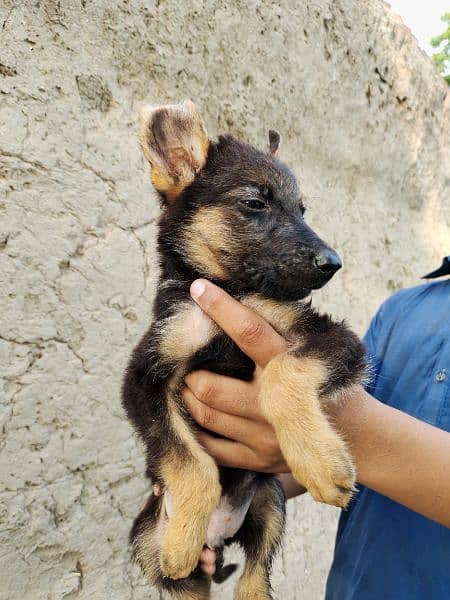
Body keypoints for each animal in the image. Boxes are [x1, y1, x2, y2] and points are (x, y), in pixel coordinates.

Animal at [121, 101, 368, 596]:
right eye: (255, 203)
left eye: (302, 209)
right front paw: (182, 538)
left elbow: (281, 373)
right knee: (184, 576)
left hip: (270, 503)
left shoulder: (334, 337)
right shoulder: (144, 378)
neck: (229, 292)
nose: (333, 263)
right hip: (148, 539)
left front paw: (320, 462)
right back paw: (185, 542)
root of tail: (220, 539)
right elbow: (189, 461)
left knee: (254, 578)